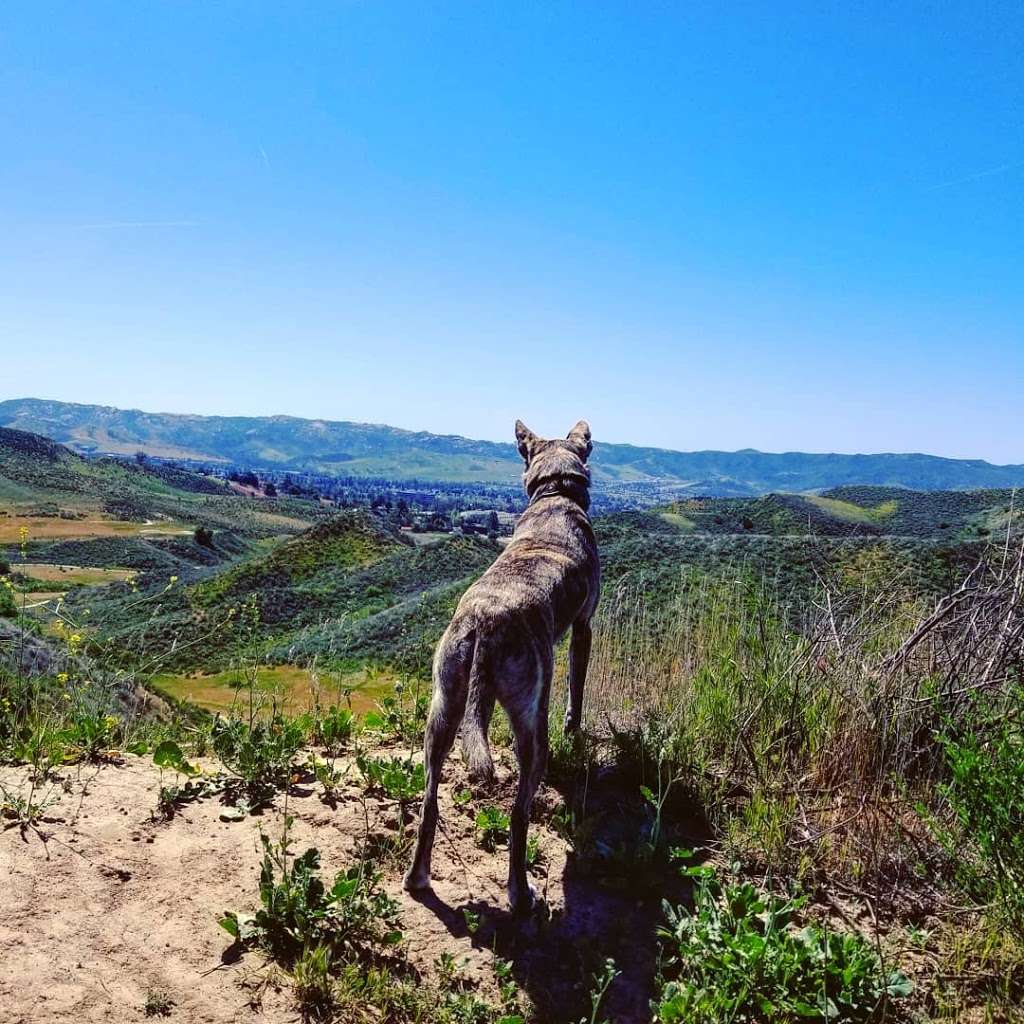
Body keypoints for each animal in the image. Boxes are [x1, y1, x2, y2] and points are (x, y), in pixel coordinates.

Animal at [403, 415, 598, 913]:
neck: (555, 494)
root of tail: (485, 624)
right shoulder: (584, 625)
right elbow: (578, 688)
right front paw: (576, 728)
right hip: (529, 724)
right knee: (518, 813)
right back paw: (520, 894)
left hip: (445, 707)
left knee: (429, 803)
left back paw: (417, 879)